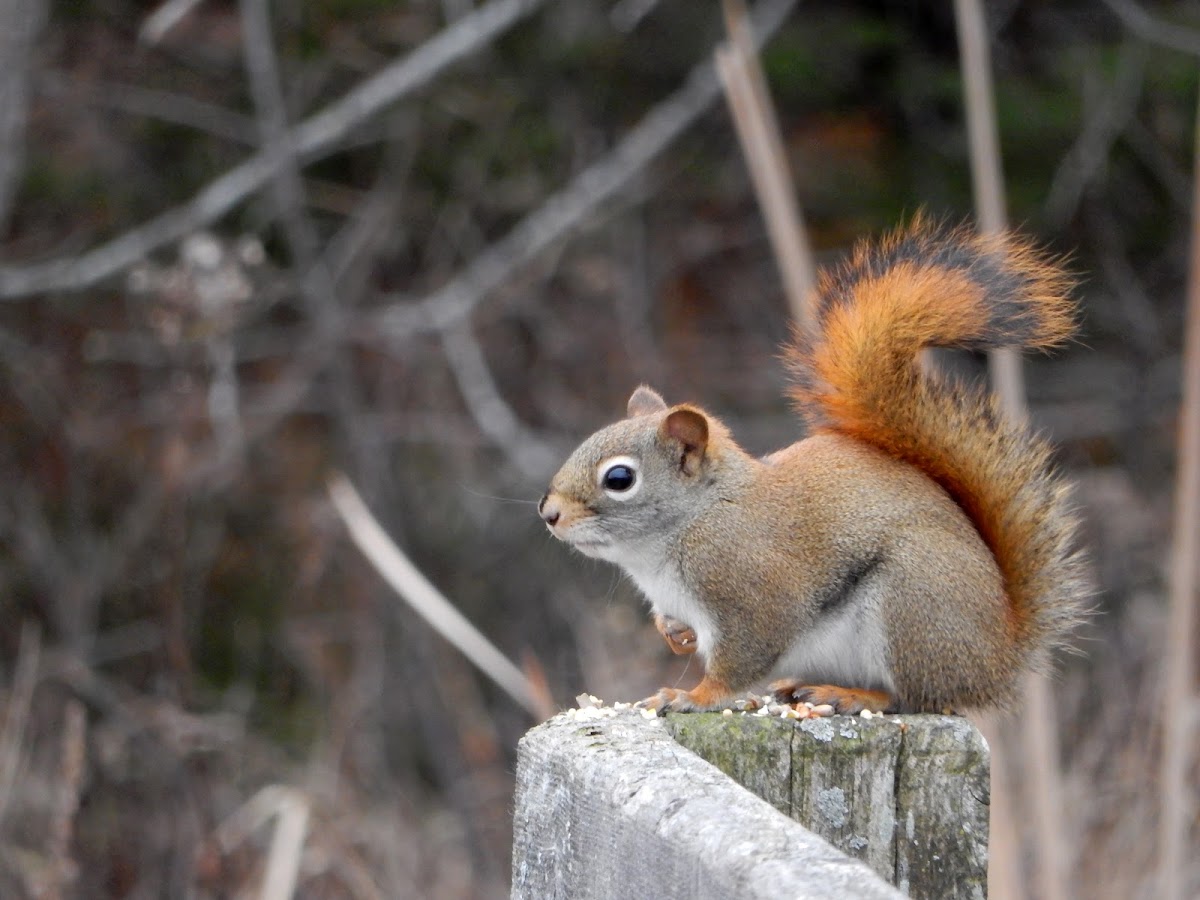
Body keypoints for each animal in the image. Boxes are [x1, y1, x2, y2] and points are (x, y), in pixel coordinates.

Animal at [540, 217, 1094, 710]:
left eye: (619, 478)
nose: (548, 513)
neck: (688, 525)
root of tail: (998, 660)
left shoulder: (753, 594)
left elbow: (739, 660)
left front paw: (692, 697)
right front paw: (675, 636)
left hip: (911, 606)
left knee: (913, 697)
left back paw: (849, 696)